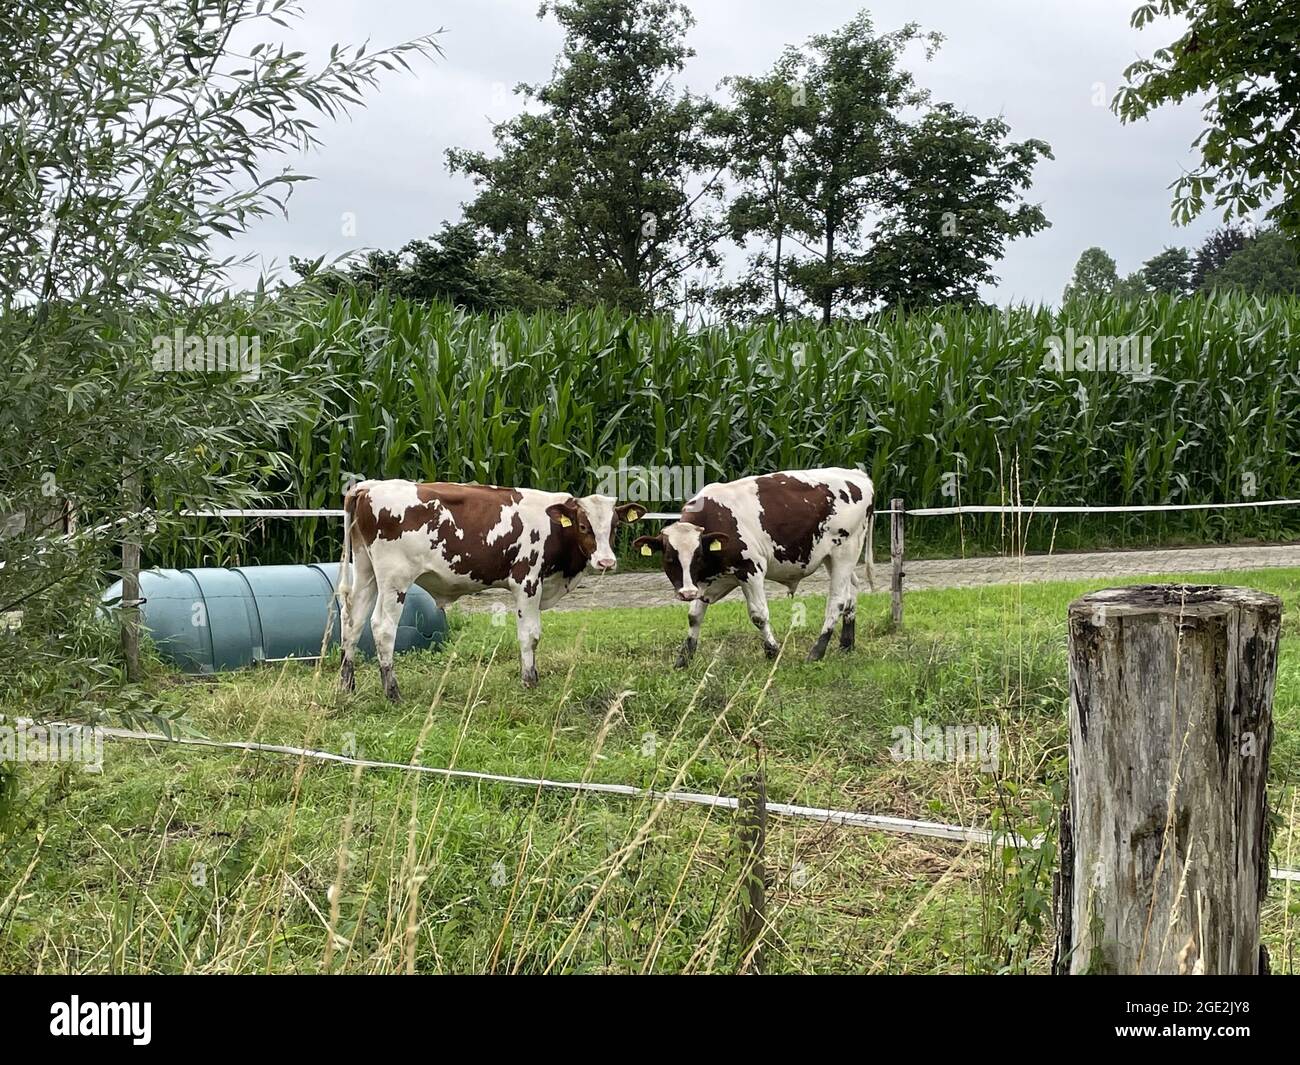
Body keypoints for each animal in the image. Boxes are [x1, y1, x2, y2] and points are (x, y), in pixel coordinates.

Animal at [336, 480, 643, 698]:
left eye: (615, 526)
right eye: (583, 525)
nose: (606, 561)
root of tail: (369, 486)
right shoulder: (526, 582)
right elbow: (530, 635)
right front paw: (529, 681)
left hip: (366, 571)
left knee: (352, 622)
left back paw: (347, 685)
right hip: (394, 579)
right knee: (382, 627)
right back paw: (392, 691)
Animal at [632, 468, 876, 666]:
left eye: (698, 554)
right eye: (670, 558)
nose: (686, 593)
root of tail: (857, 474)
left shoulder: (751, 569)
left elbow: (759, 615)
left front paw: (772, 651)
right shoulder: (707, 581)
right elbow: (694, 615)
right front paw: (684, 658)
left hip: (845, 552)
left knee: (837, 601)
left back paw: (817, 652)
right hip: (832, 557)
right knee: (852, 591)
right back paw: (846, 644)